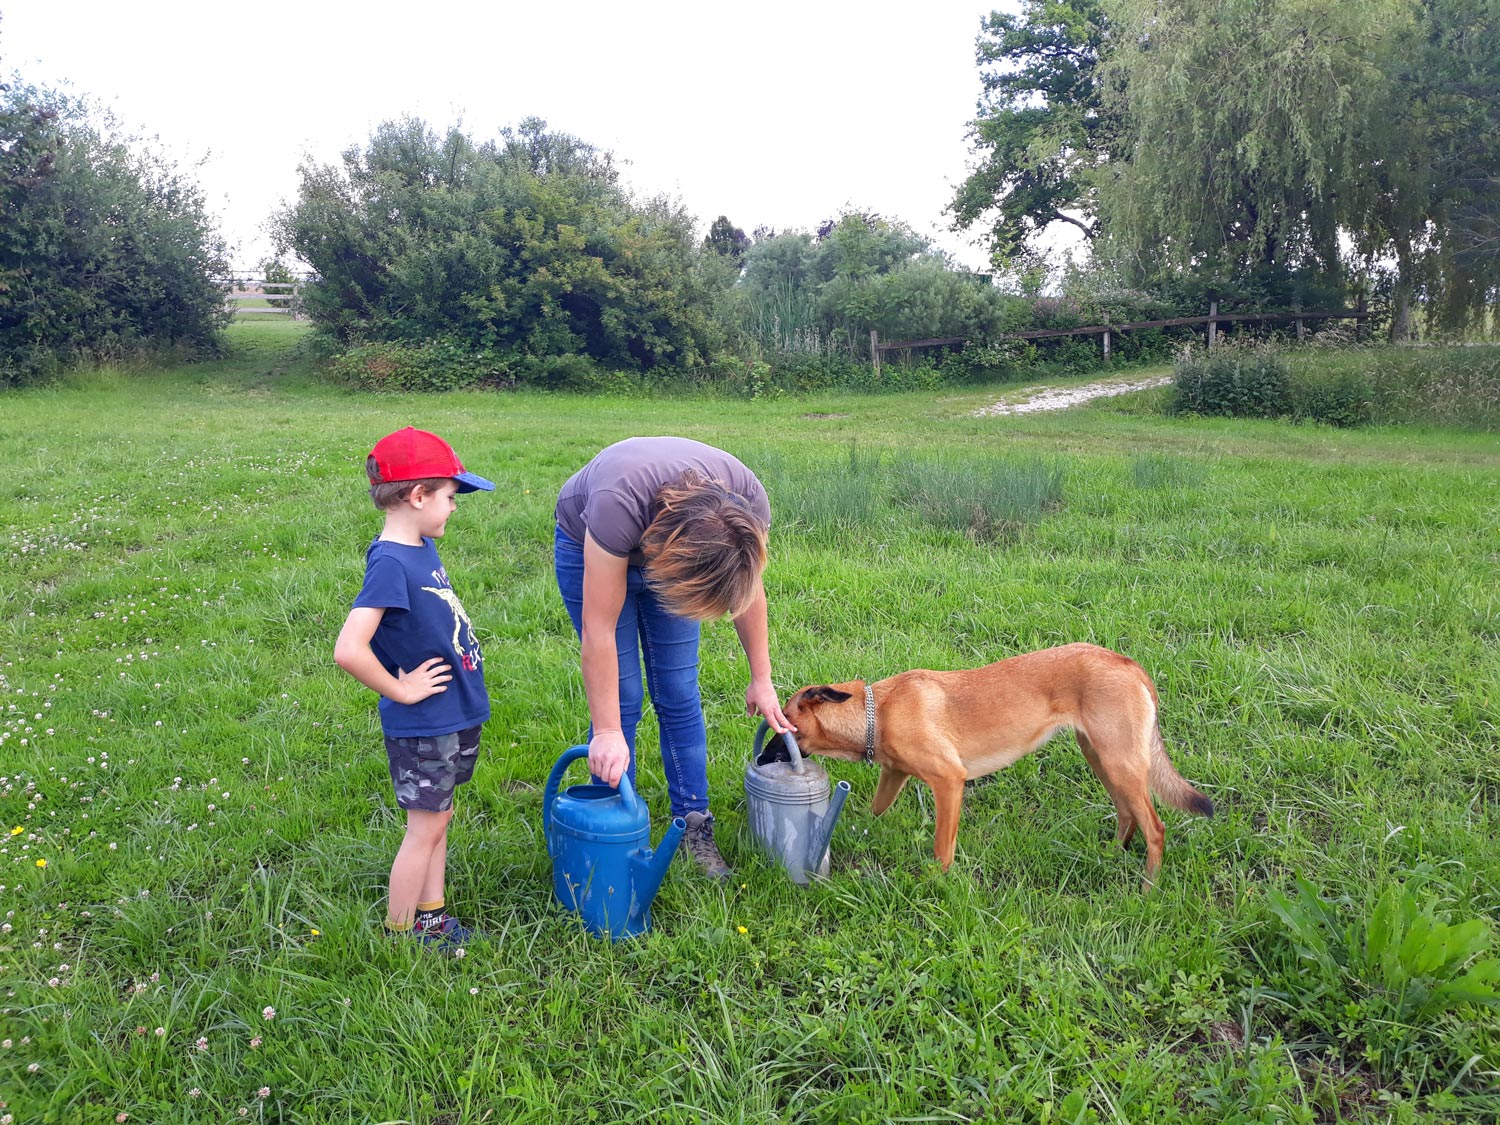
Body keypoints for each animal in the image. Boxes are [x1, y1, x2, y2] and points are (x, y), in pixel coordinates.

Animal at [780, 642, 1212, 888]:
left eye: (783, 723)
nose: (769, 756)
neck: (878, 711)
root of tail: (1127, 663)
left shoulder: (949, 781)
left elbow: (942, 847)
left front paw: (939, 885)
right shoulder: (894, 774)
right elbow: (874, 810)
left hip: (1120, 763)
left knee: (1154, 828)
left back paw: (1149, 888)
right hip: (1102, 758)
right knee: (1127, 814)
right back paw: (1109, 856)